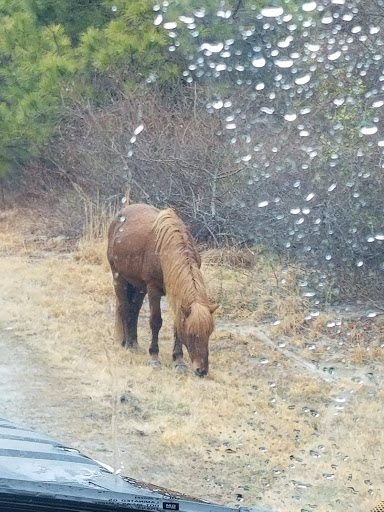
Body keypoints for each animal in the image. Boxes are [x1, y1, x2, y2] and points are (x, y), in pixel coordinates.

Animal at [106, 204, 218, 376]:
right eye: (192, 334)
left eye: (209, 333)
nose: (202, 370)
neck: (166, 251)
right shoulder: (153, 289)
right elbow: (155, 321)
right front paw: (154, 357)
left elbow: (177, 324)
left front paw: (178, 360)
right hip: (119, 277)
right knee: (124, 307)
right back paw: (126, 343)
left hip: (139, 286)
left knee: (134, 310)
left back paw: (134, 343)